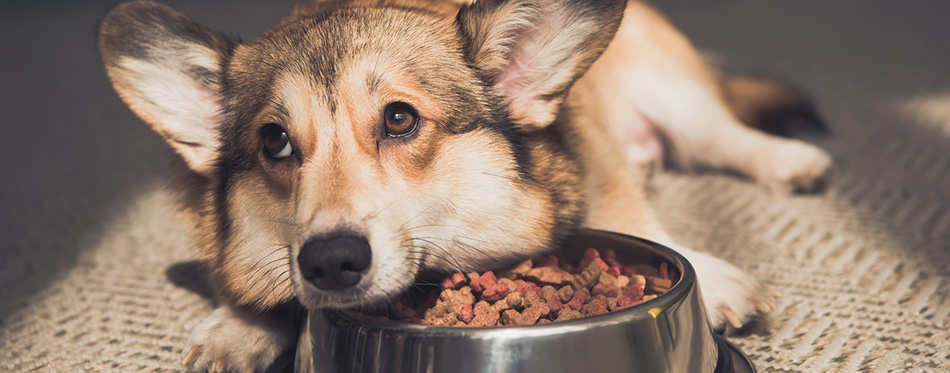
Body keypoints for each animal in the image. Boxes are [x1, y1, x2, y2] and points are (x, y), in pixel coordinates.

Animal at [100, 0, 832, 368]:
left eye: (399, 119)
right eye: (275, 141)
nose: (331, 262)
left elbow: (635, 217)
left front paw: (717, 279)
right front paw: (239, 329)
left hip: (674, 92)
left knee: (724, 134)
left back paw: (791, 161)